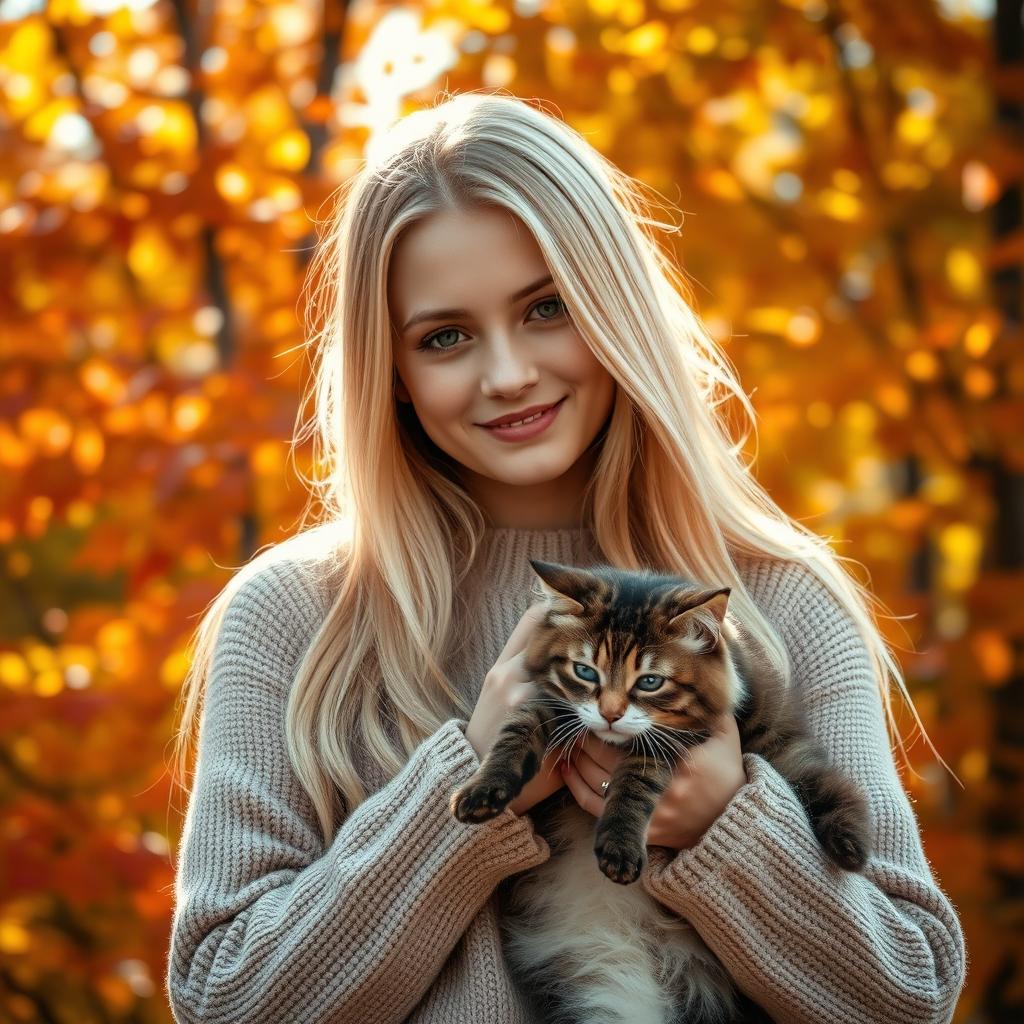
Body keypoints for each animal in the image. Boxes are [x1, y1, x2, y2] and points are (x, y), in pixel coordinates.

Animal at [448, 561, 872, 1024]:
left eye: (650, 682)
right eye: (585, 672)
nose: (610, 715)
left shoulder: (671, 743)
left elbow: (634, 785)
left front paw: (619, 847)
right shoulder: (547, 703)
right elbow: (513, 733)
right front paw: (481, 792)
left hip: (784, 748)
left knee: (826, 783)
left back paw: (850, 846)